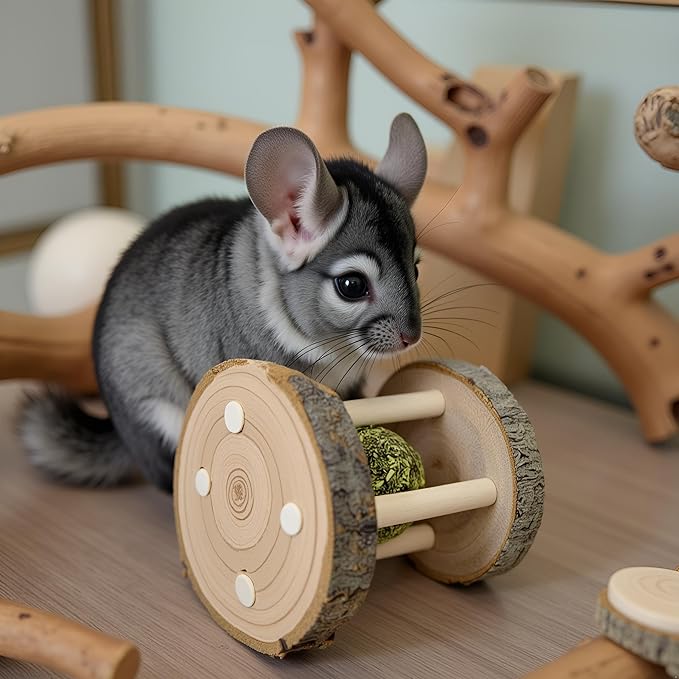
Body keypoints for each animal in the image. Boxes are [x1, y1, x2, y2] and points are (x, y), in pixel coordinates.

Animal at [19, 113, 427, 492]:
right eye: (351, 285)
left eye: (417, 268)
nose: (412, 338)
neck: (333, 351)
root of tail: (120, 429)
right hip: (157, 407)